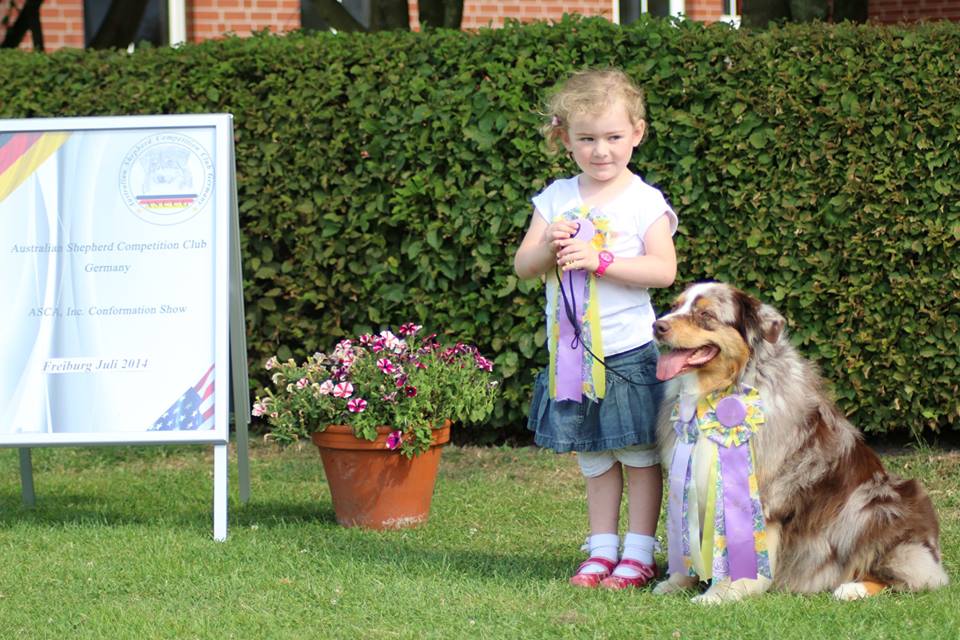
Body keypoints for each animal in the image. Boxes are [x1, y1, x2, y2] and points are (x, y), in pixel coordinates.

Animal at [651, 282, 948, 604]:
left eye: (705, 314)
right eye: (675, 306)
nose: (658, 326)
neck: (720, 395)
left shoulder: (761, 495)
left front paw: (722, 593)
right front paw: (677, 581)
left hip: (874, 505)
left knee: (912, 574)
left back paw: (852, 587)